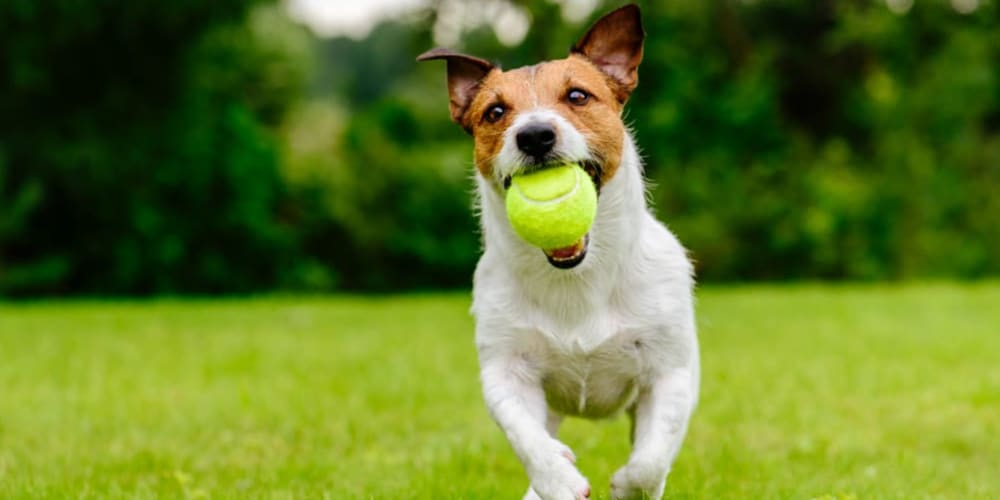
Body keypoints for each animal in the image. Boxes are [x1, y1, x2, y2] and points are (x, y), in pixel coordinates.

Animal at [418, 4, 700, 500]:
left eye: (577, 95)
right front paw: (558, 478)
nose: (534, 135)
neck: (575, 276)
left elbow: (650, 462)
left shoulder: (671, 375)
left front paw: (627, 486)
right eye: (495, 111)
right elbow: (527, 440)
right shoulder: (506, 372)